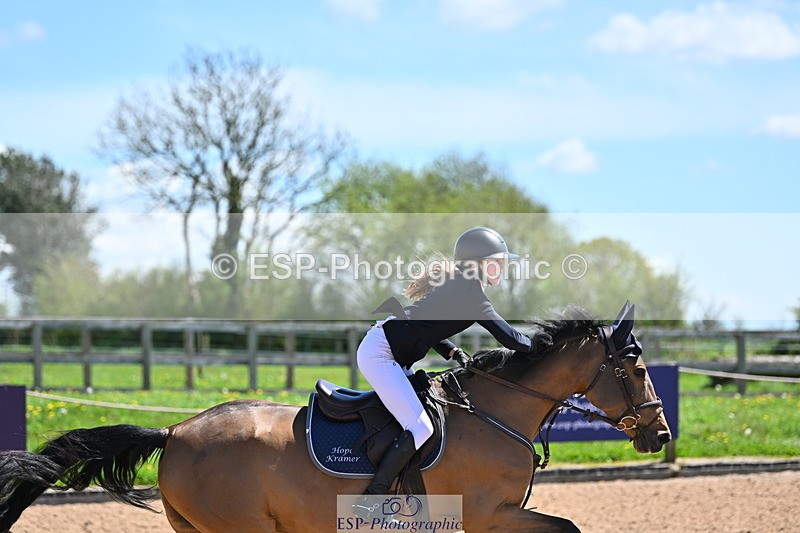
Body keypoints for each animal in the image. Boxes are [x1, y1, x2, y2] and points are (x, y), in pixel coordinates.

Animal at [0, 302, 671, 532]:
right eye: (636, 367)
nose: (659, 433)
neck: (497, 412)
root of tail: (176, 430)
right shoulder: (490, 515)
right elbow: (569, 529)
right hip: (243, 528)